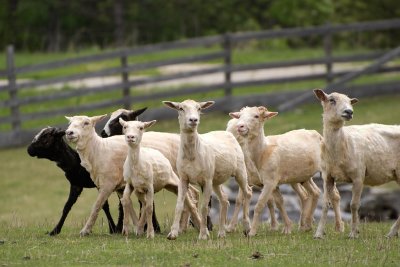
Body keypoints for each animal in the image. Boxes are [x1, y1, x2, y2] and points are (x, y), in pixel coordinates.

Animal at [163, 100, 252, 241]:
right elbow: (179, 205)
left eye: (199, 108)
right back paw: (221, 233)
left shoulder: (206, 180)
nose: (193, 120)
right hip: (216, 180)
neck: (192, 154)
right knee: (224, 200)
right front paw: (173, 234)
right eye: (181, 108)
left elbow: (204, 208)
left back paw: (247, 228)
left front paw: (203, 234)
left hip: (240, 170)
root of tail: (228, 132)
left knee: (247, 192)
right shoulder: (183, 179)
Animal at [228, 107, 324, 237]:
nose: (240, 126)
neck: (263, 151)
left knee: (333, 195)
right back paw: (306, 225)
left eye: (256, 116)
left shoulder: (270, 181)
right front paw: (287, 227)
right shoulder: (271, 182)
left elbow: (260, 205)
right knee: (314, 192)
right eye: (240, 116)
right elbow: (279, 202)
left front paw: (252, 232)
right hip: (303, 177)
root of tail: (316, 133)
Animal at [312, 89, 400, 240]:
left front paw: (353, 233)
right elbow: (325, 204)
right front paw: (318, 233)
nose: (349, 111)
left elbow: (354, 205)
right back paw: (392, 233)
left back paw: (391, 232)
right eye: (331, 100)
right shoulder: (327, 176)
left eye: (349, 101)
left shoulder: (358, 176)